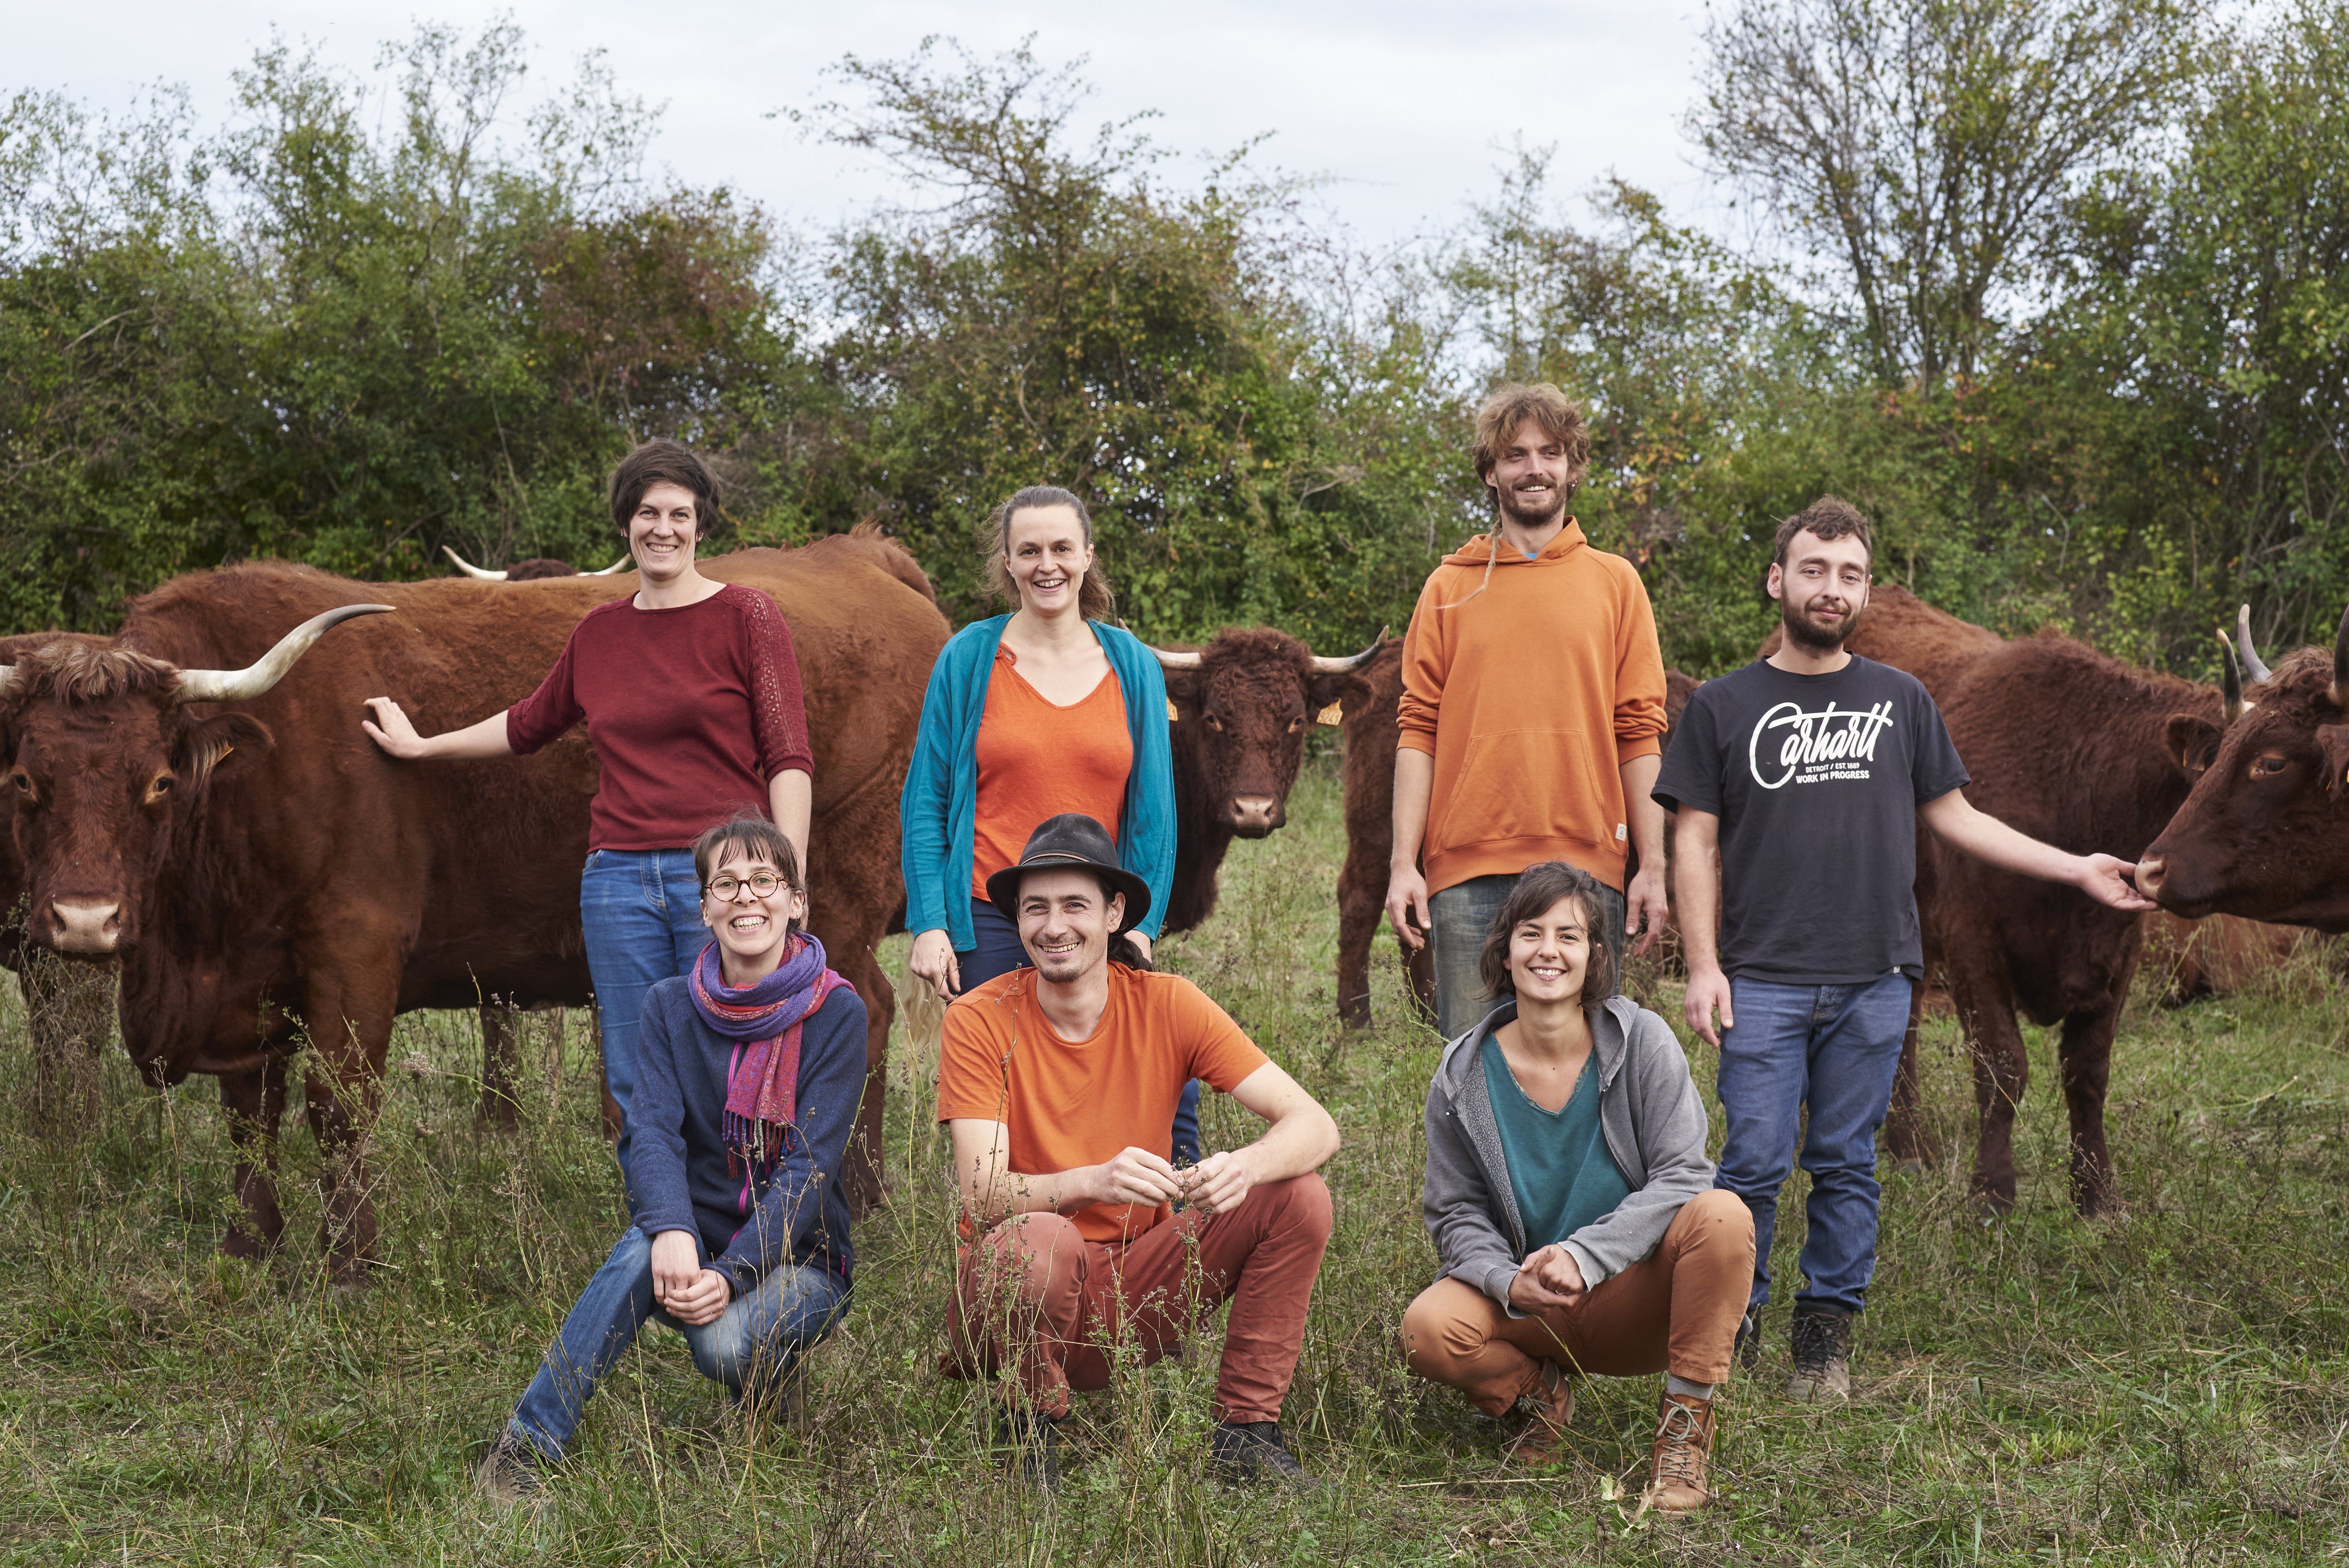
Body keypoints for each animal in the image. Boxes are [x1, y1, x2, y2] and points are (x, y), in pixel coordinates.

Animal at [9, 535, 949, 1277]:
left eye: (159, 783)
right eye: (23, 780)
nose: (86, 920)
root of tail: (857, 554)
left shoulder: (353, 945)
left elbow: (338, 1102)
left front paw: (351, 1259)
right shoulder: (246, 974)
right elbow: (251, 1113)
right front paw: (252, 1244)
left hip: (835, 897)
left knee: (862, 1015)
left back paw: (857, 1192)